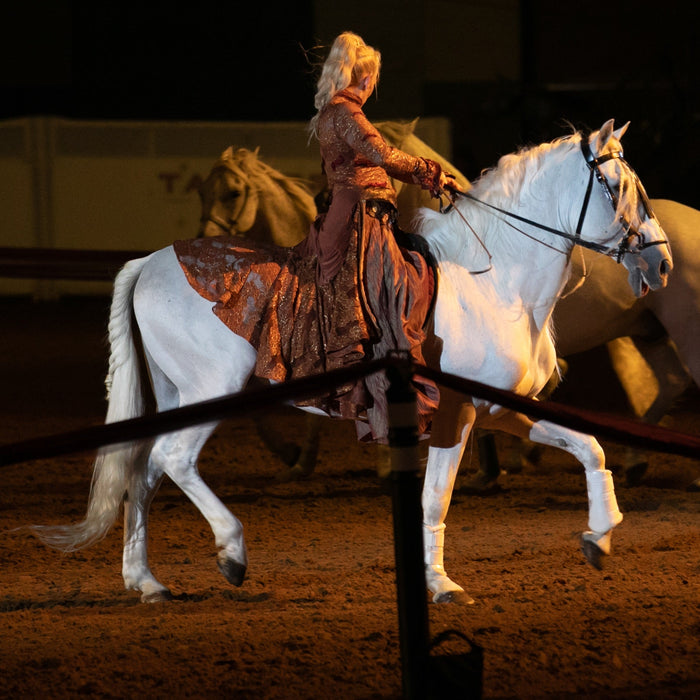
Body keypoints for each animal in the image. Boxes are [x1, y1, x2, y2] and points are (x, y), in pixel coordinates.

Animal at [32, 117, 672, 604]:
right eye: (619, 187)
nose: (661, 263)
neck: (494, 281)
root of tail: (152, 262)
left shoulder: (500, 409)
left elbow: (588, 446)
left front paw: (600, 537)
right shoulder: (456, 413)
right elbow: (435, 498)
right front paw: (441, 585)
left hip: (173, 394)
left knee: (141, 473)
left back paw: (146, 583)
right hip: (211, 391)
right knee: (172, 459)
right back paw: (232, 552)